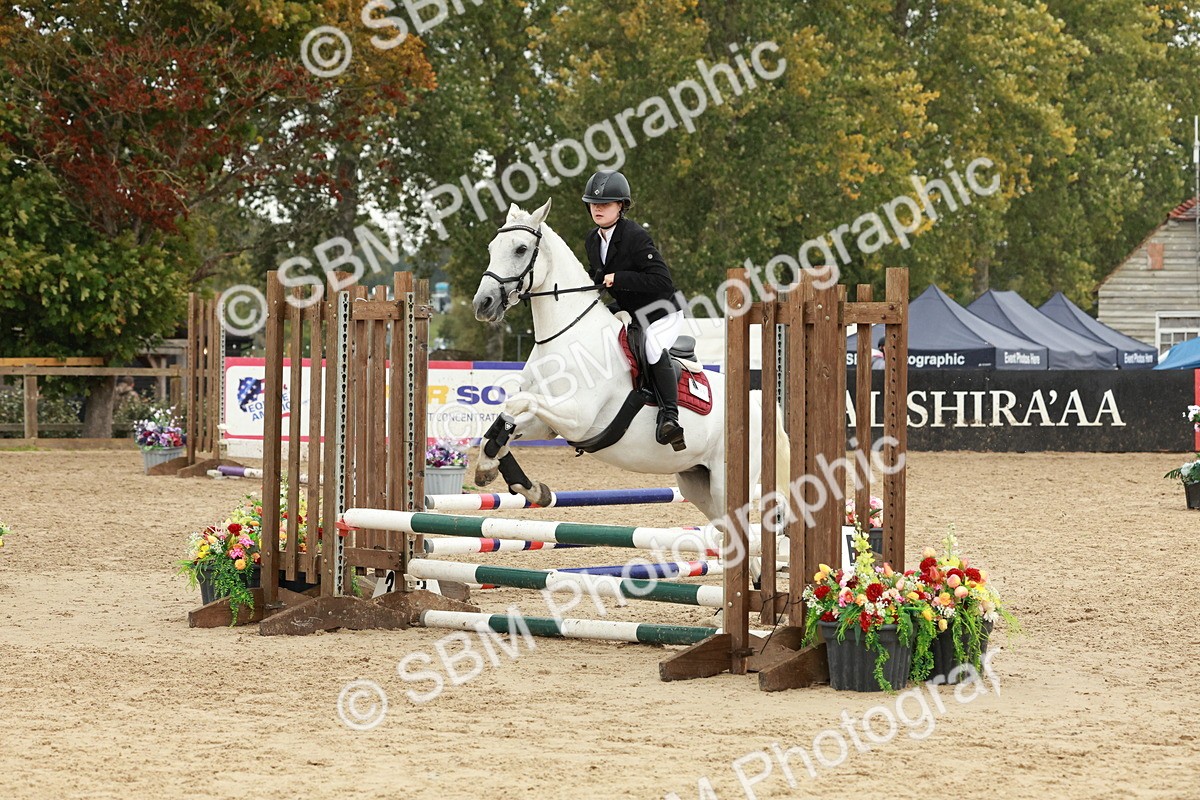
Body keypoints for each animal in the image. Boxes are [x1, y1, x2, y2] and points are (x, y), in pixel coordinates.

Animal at [470, 198, 789, 527]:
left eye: (521, 249)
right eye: (492, 247)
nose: (483, 304)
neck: (567, 333)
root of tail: (756, 402)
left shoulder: (576, 417)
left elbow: (515, 403)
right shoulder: (548, 424)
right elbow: (504, 425)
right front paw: (508, 476)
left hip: (725, 482)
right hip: (697, 481)